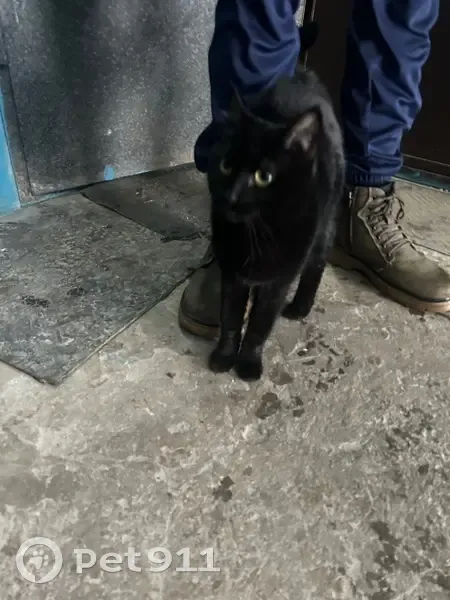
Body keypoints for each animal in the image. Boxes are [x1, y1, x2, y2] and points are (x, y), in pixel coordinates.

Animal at [207, 65, 345, 381]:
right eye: (226, 165)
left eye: (263, 177)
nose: (232, 195)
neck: (256, 233)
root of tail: (304, 76)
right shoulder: (232, 272)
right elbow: (229, 315)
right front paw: (225, 355)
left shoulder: (279, 278)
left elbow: (261, 322)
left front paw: (248, 362)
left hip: (326, 222)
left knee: (317, 262)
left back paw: (300, 307)